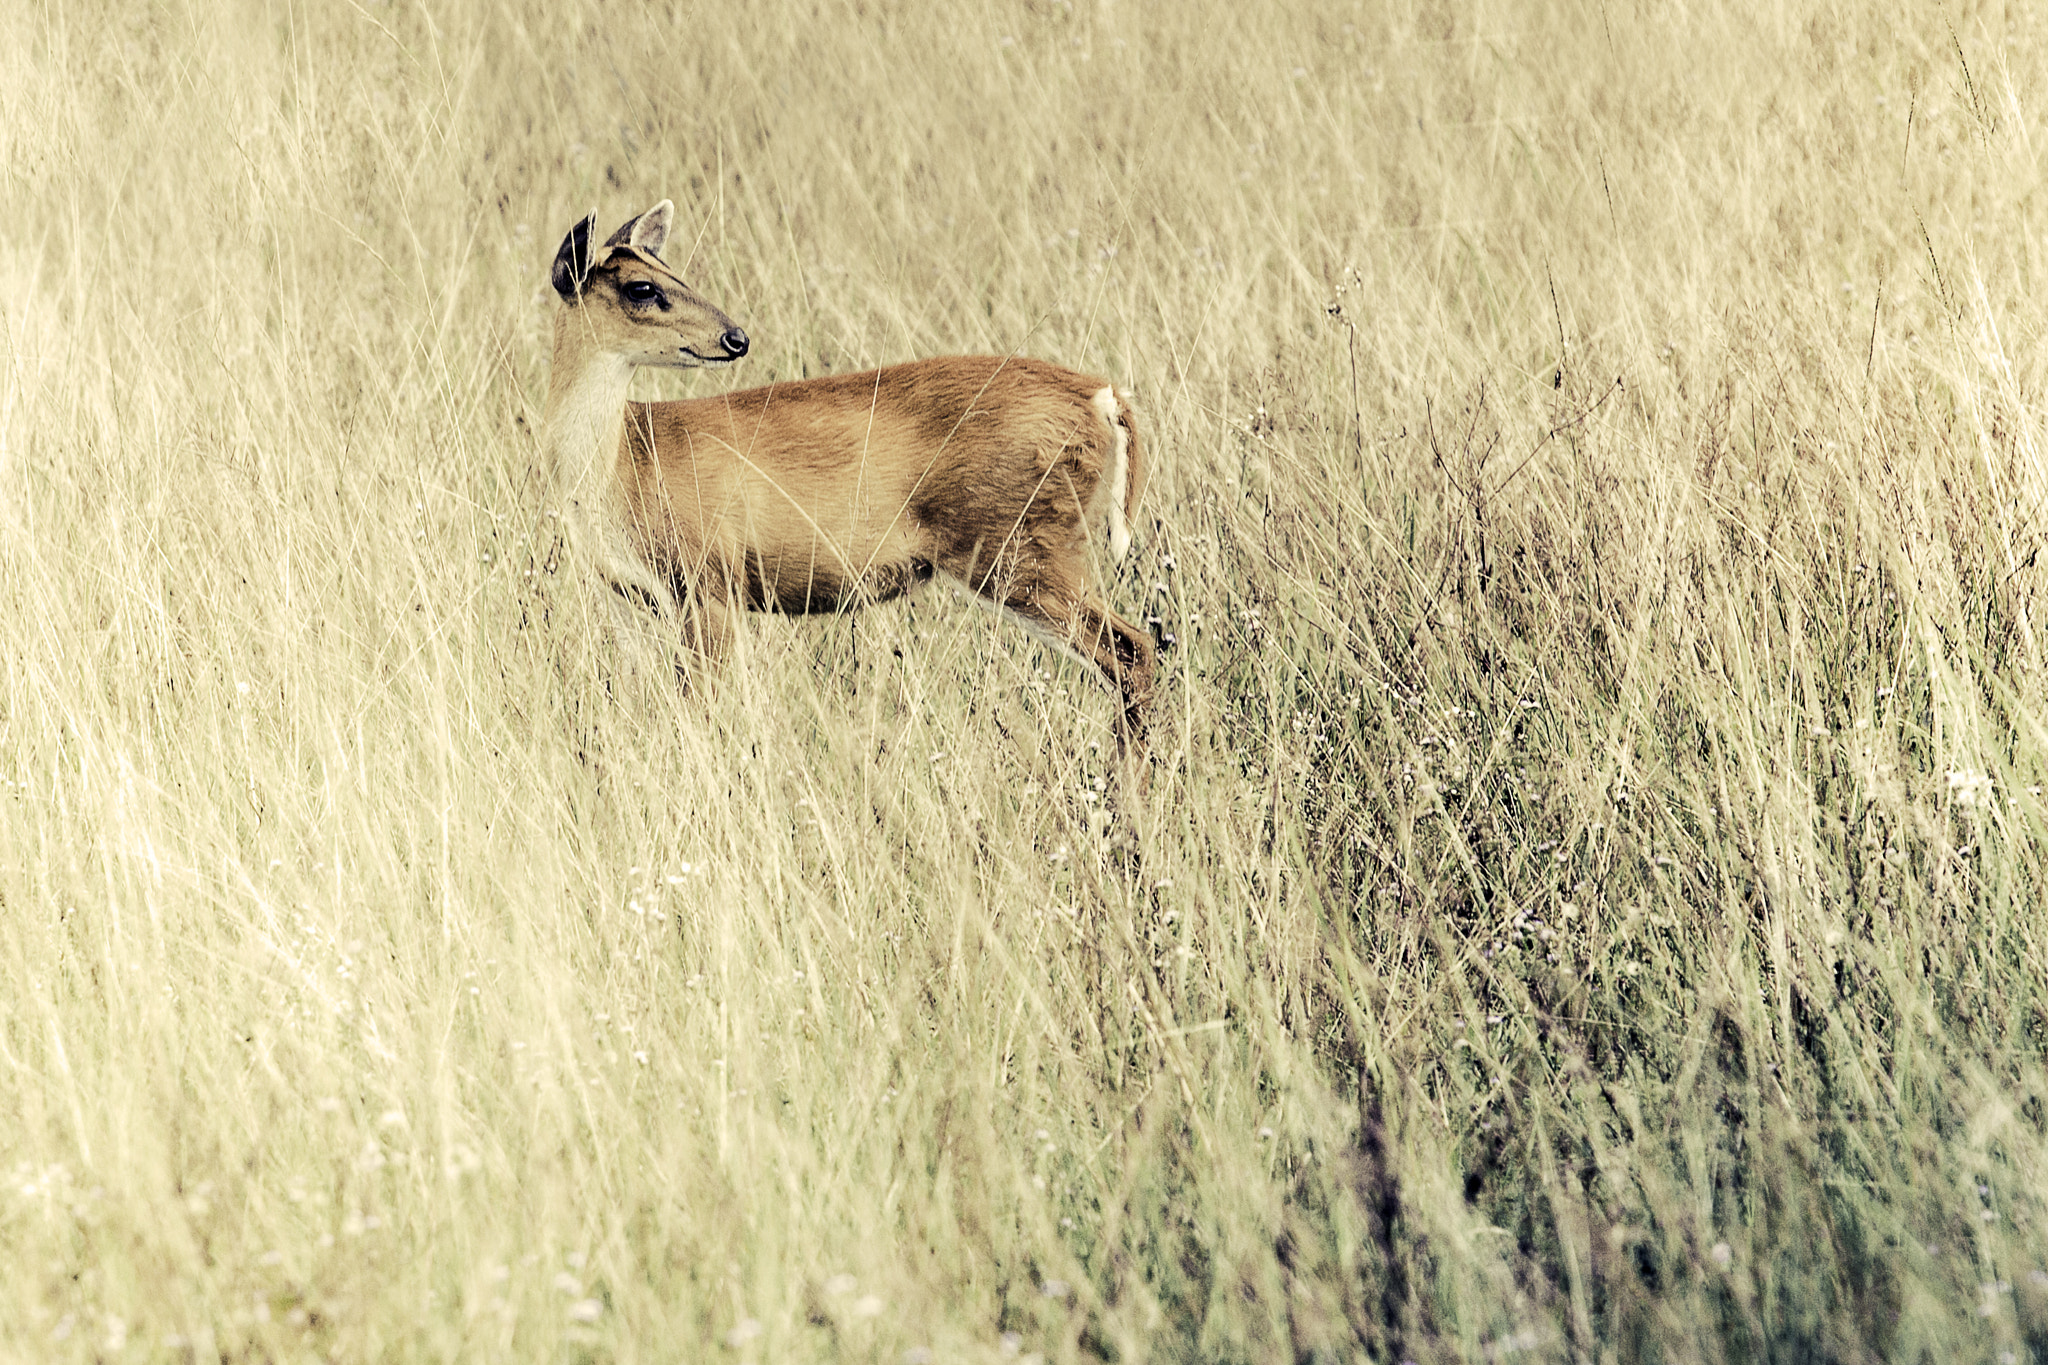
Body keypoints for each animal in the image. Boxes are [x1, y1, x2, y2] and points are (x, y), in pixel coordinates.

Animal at [540, 204, 1155, 753]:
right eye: (642, 287)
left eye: (675, 273)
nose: (736, 337)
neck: (623, 466)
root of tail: (1102, 396)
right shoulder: (624, 593)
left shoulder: (712, 577)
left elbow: (703, 708)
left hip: (1021, 546)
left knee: (1134, 648)